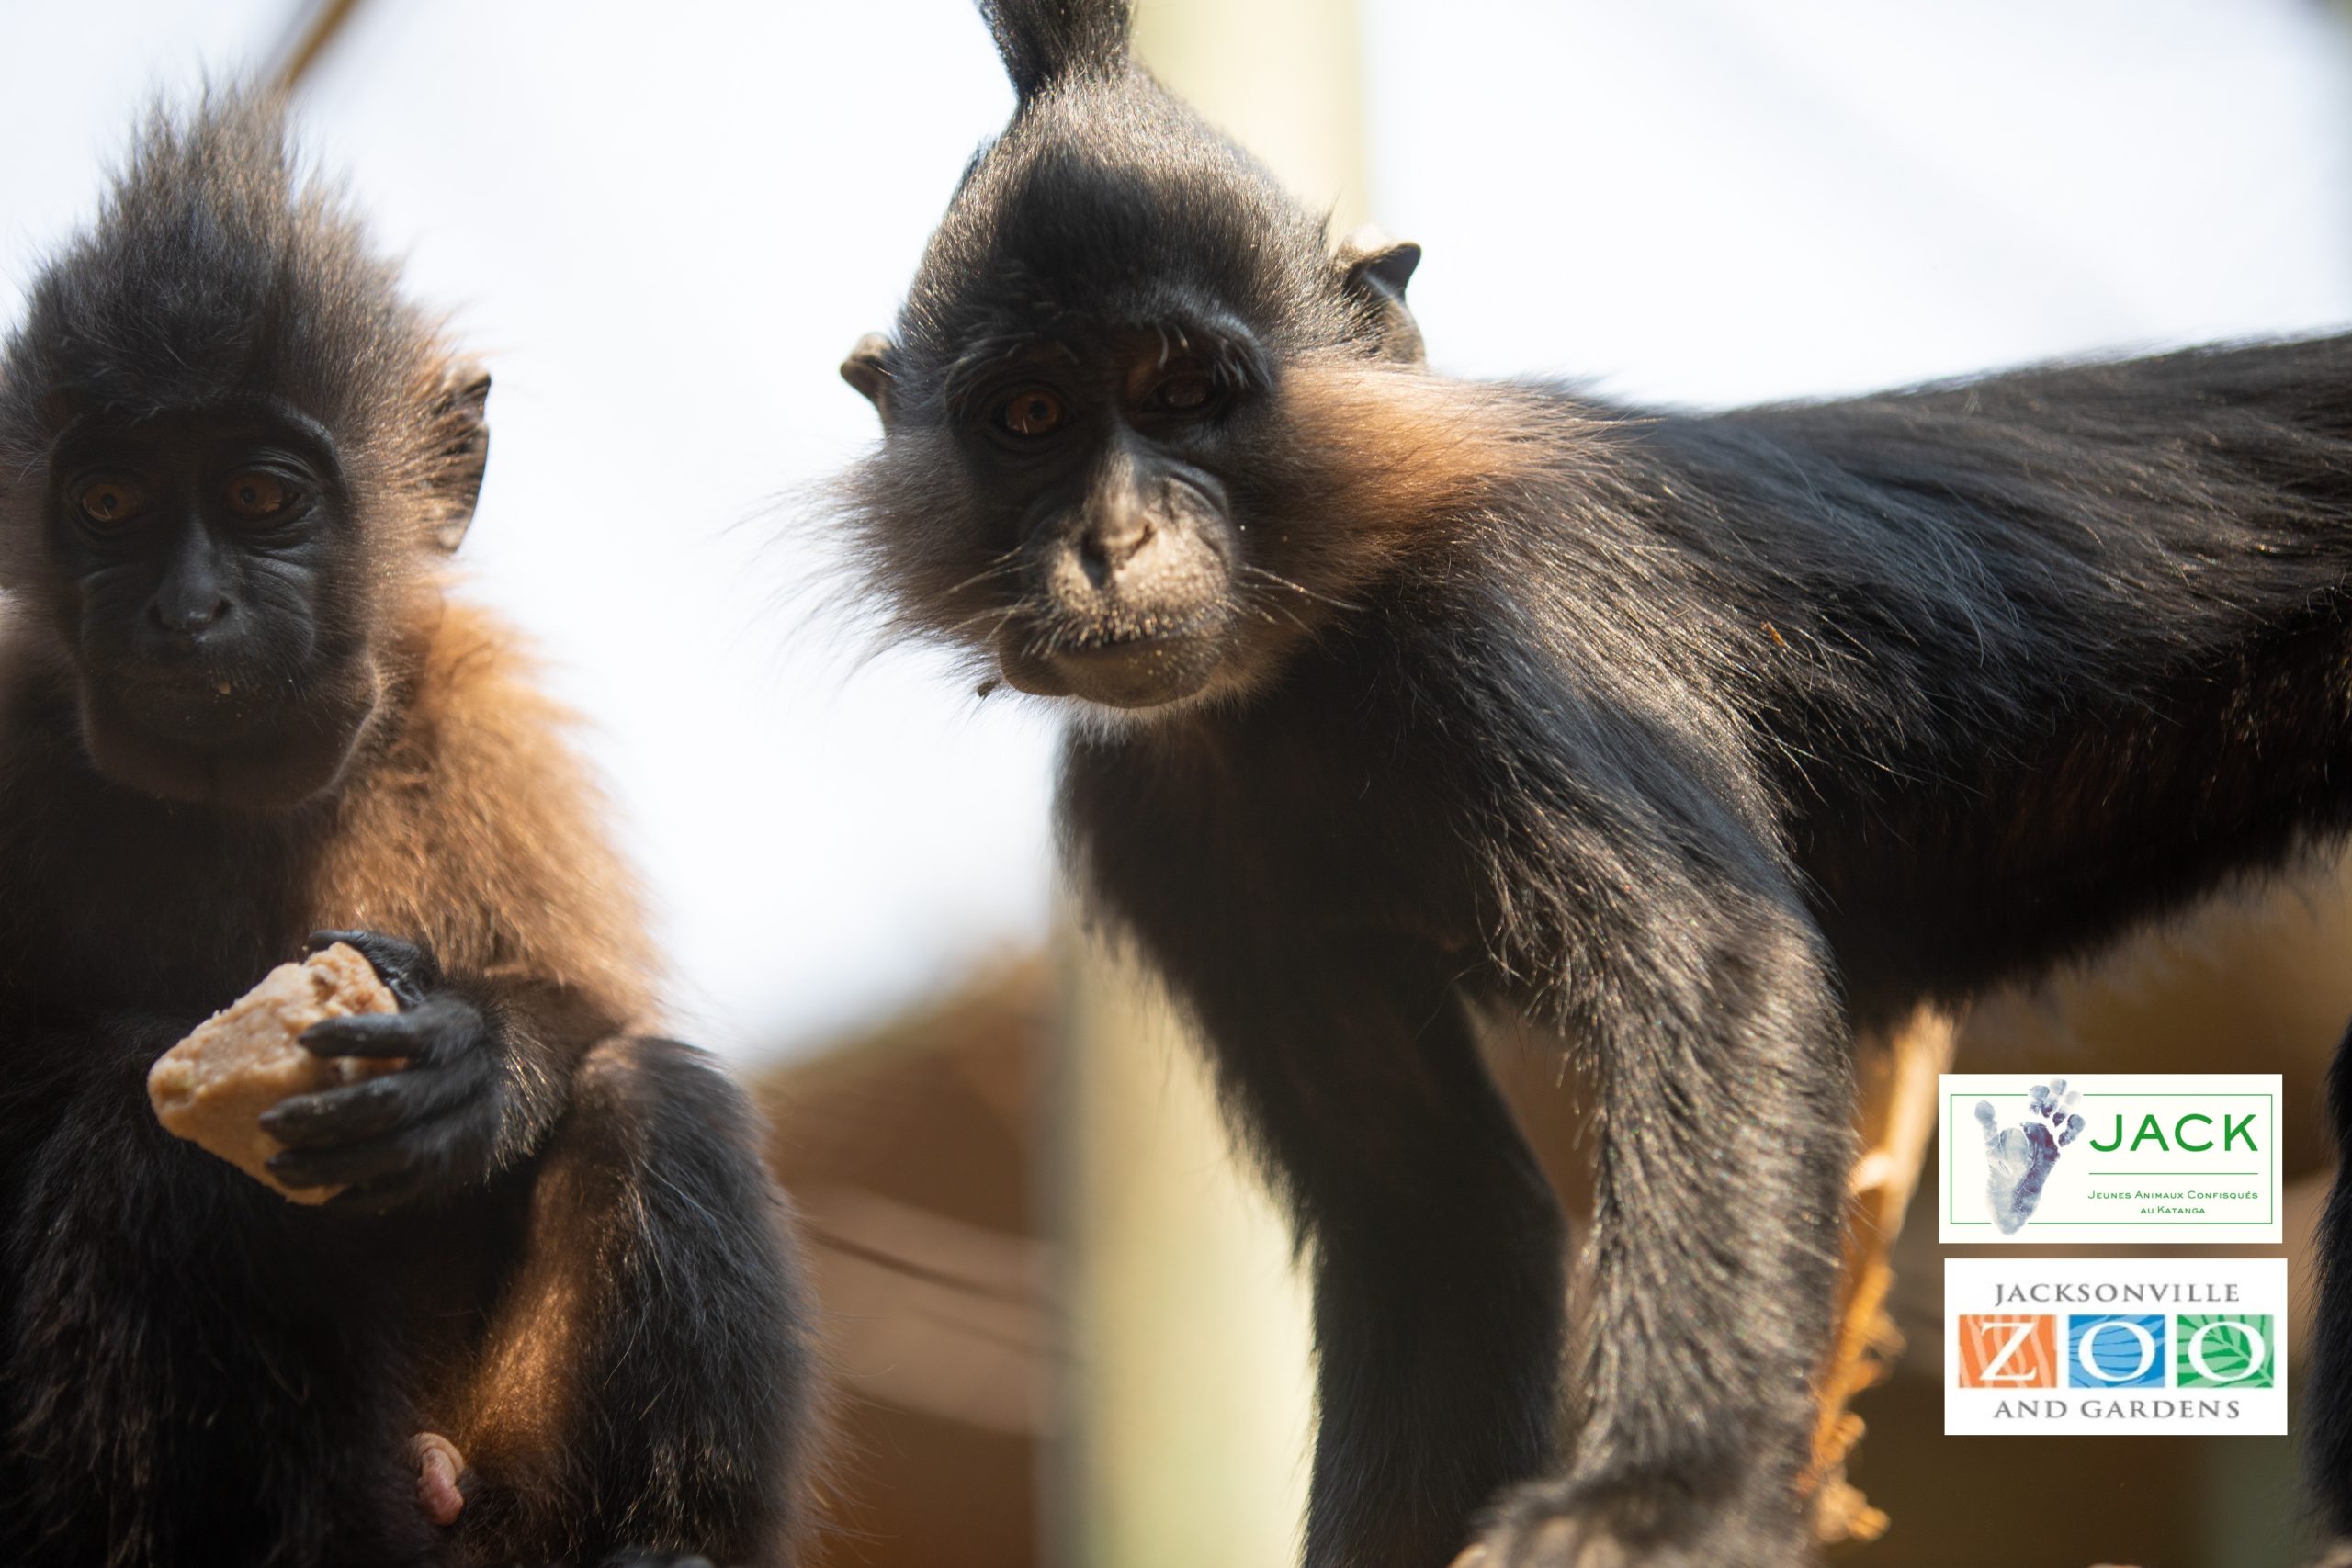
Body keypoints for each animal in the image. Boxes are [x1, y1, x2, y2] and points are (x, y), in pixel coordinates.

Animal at [0, 101, 818, 1568]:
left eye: (262, 501)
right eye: (109, 507)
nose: (189, 610)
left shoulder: (485, 714)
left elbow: (593, 1015)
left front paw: (474, 1061)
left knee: (647, 1087)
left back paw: (661, 1542)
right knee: (158, 1156)